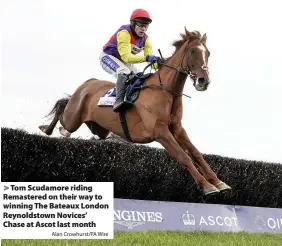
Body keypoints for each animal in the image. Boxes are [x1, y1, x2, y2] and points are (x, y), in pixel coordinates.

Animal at [39, 27, 231, 196]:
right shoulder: (160, 131)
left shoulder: (176, 128)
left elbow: (196, 153)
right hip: (73, 118)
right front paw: (207, 187)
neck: (166, 91)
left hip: (99, 128)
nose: (204, 81)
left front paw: (219, 182)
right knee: (63, 111)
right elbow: (184, 156)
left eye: (208, 53)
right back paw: (47, 129)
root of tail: (89, 82)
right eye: (192, 50)